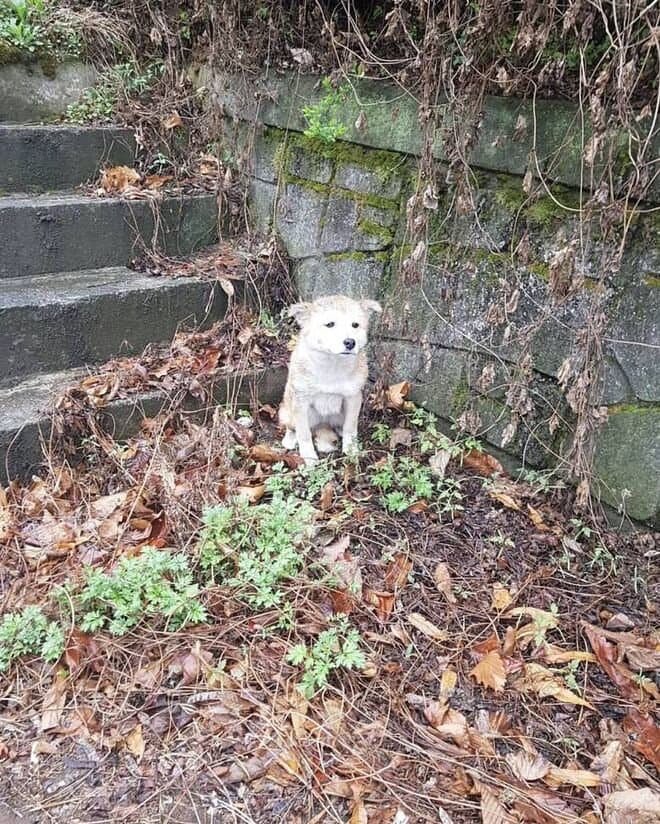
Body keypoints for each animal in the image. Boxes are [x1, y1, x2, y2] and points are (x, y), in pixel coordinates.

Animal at [278, 294, 382, 464]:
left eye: (355, 325)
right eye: (330, 324)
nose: (350, 342)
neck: (332, 364)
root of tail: (323, 424)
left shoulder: (353, 398)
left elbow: (350, 427)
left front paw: (351, 449)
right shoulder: (301, 401)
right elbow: (303, 433)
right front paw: (309, 456)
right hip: (289, 411)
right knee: (292, 427)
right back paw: (290, 440)